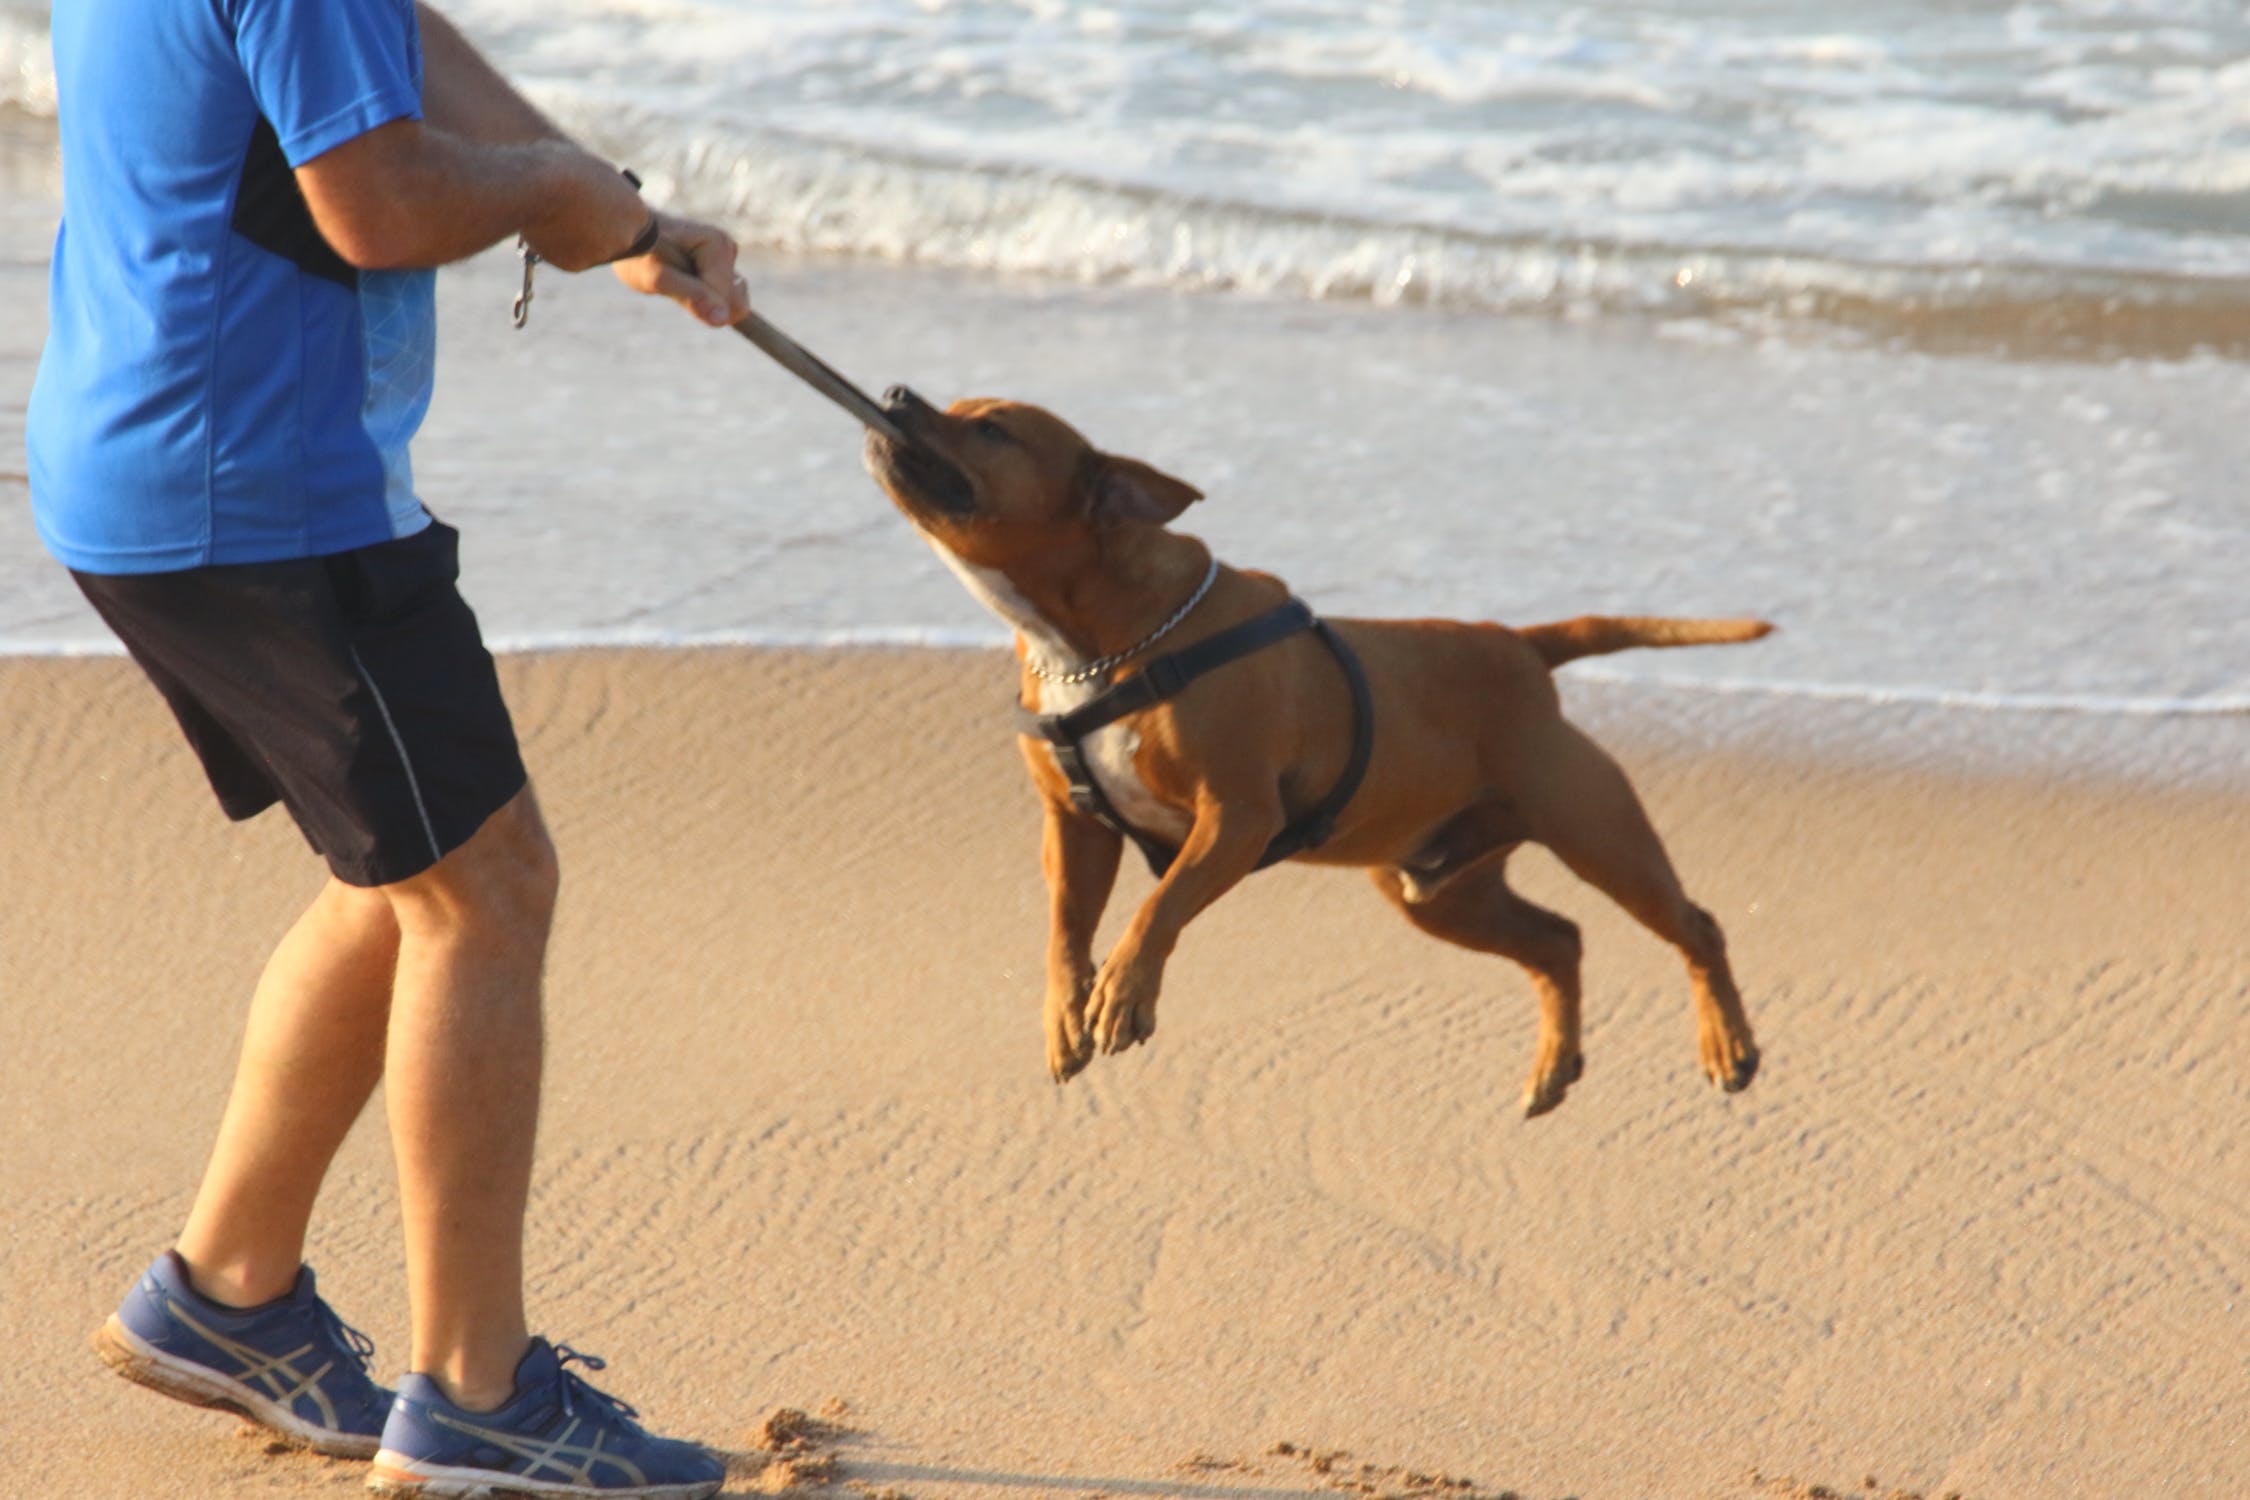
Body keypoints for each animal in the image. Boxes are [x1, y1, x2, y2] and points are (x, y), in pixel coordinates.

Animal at [868, 386, 1764, 1115]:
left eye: (990, 429)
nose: (896, 393)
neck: (1088, 643)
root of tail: (1518, 644)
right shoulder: (1074, 827)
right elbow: (1063, 930)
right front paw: (1065, 1013)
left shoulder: (1233, 816)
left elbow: (1159, 906)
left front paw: (1123, 990)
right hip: (1435, 890)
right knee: (1557, 941)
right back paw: (1552, 1069)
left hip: (1597, 835)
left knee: (1694, 927)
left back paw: (1727, 1045)